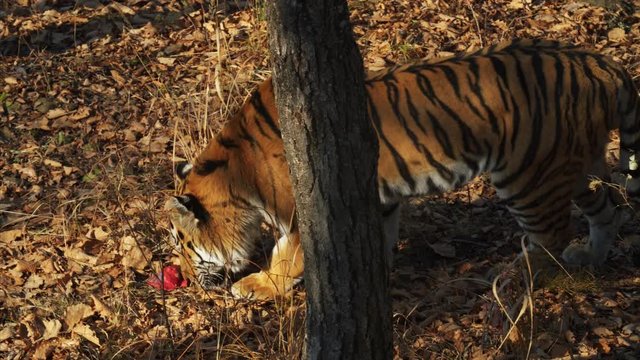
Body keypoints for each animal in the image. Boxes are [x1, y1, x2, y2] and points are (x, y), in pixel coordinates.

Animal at [166, 38, 640, 300]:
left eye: (183, 247)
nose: (182, 278)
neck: (236, 175)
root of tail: (601, 64)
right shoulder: (378, 197)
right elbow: (378, 235)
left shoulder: (303, 211)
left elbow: (288, 255)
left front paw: (259, 286)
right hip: (570, 166)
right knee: (609, 208)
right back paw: (590, 258)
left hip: (527, 175)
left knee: (552, 234)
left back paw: (511, 279)